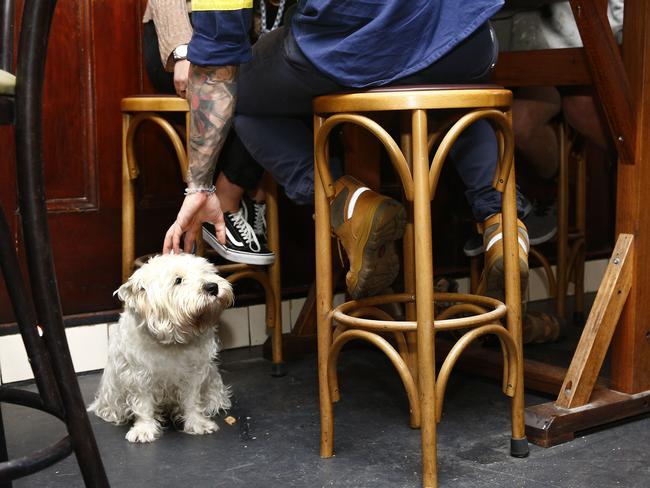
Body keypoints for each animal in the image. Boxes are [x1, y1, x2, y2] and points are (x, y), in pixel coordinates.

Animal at [88, 254, 233, 444]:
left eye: (206, 271)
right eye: (178, 280)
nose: (212, 286)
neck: (171, 340)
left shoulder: (193, 373)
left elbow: (192, 400)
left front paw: (197, 423)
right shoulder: (139, 375)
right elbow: (143, 404)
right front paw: (144, 429)